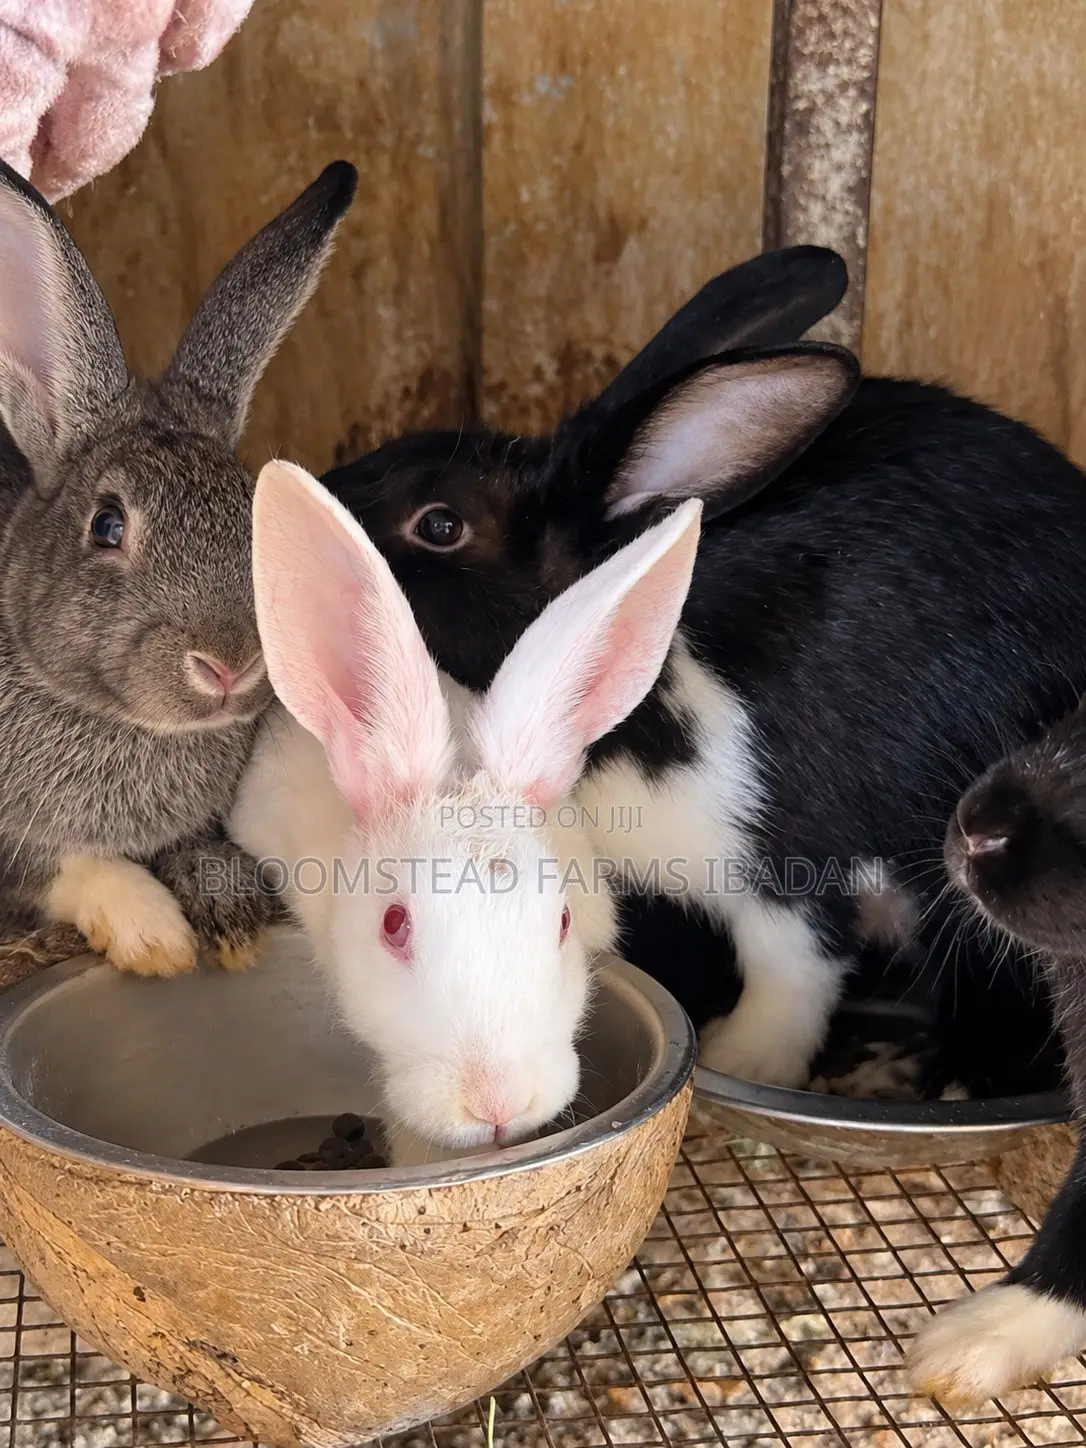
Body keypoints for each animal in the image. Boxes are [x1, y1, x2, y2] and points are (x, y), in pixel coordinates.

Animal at [0, 156, 357, 977]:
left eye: (257, 522)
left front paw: (228, 908)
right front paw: (152, 934)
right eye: (107, 525)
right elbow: (66, 866)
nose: (228, 666)